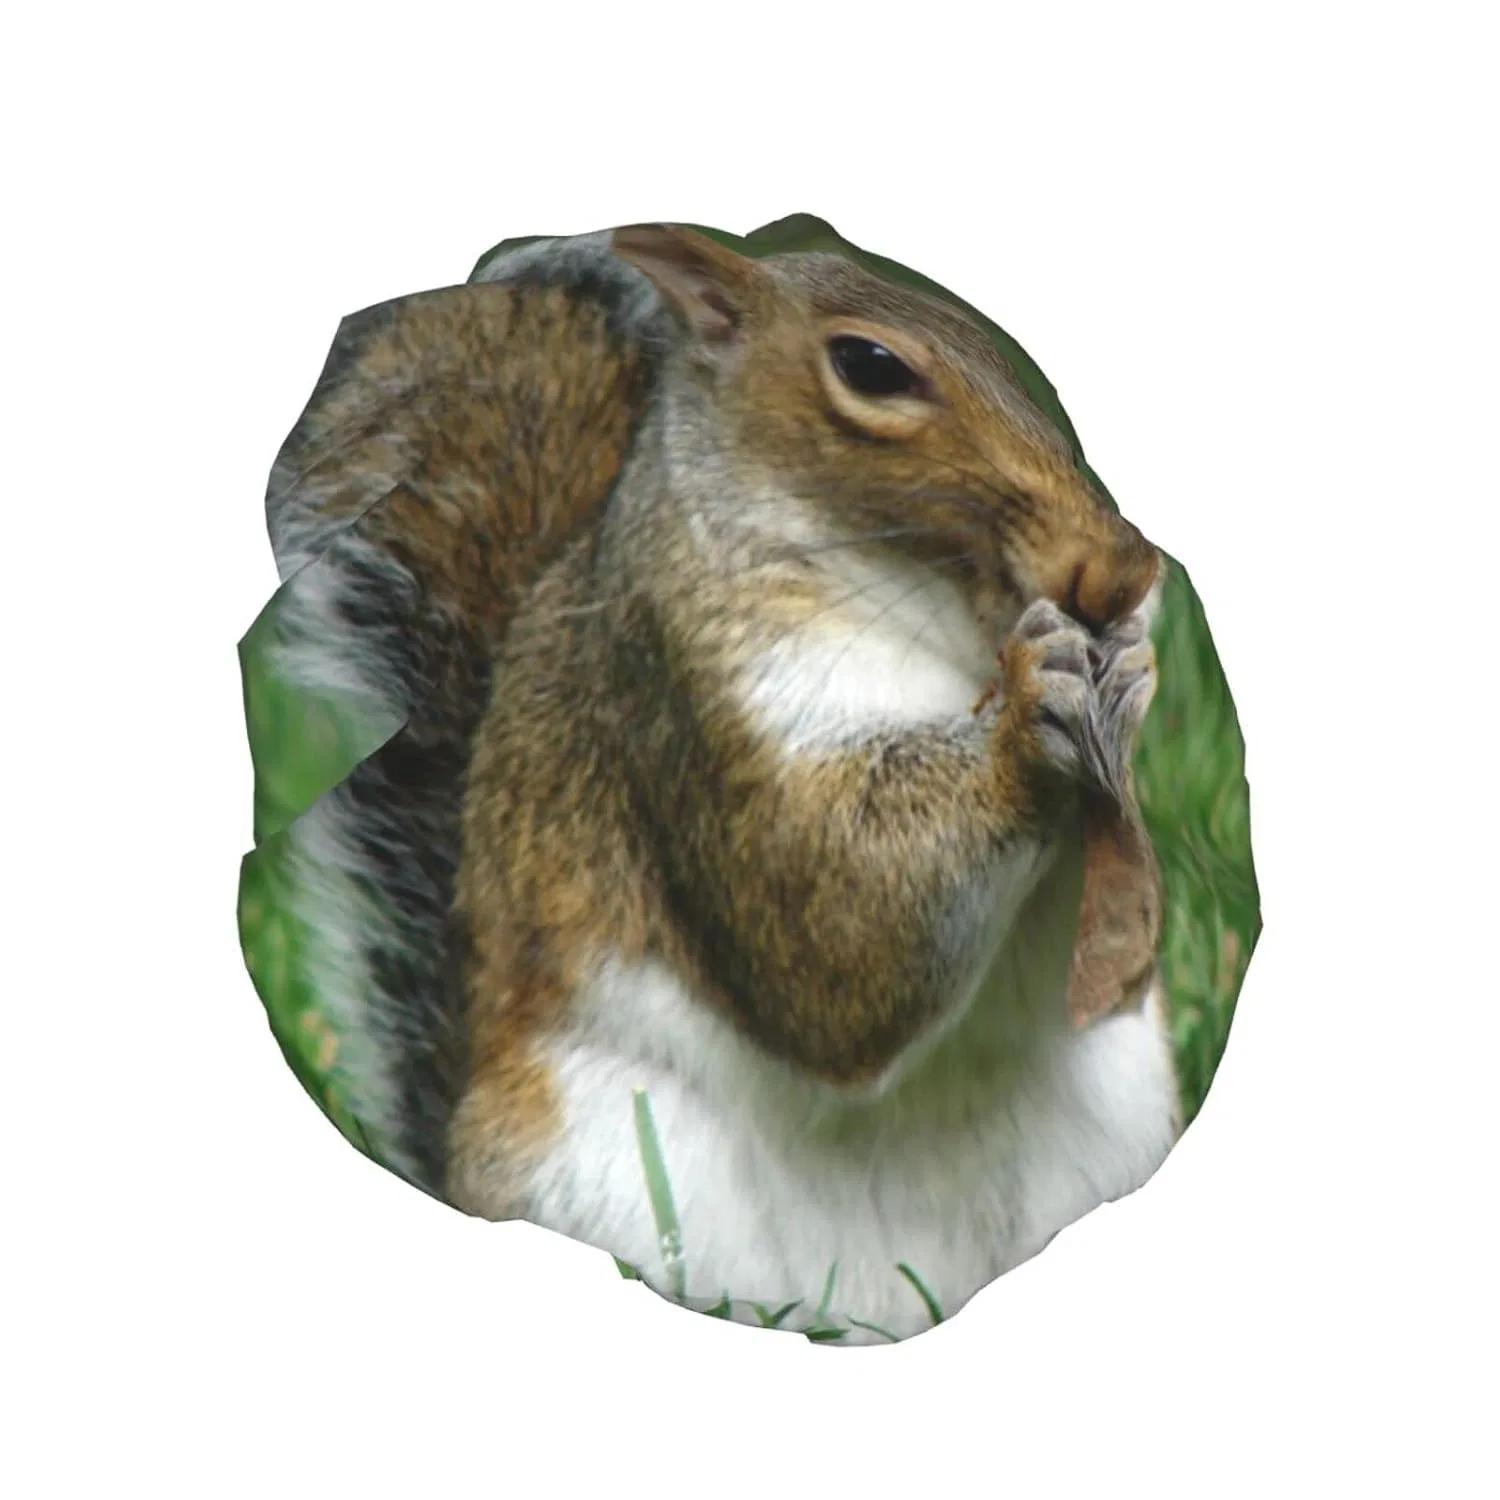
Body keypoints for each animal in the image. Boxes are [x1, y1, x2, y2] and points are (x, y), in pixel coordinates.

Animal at [262, 222, 1180, 1343]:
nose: (1122, 567)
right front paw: (1026, 715)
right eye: (871, 366)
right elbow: (833, 932)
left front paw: (1131, 663)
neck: (938, 617)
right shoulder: (685, 703)